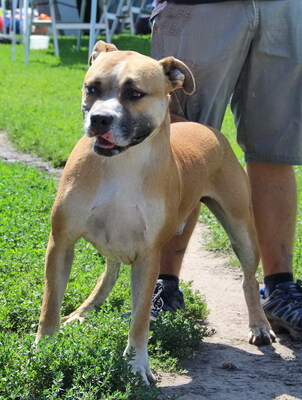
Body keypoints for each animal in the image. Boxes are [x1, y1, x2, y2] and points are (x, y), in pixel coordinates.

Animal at [36, 40, 276, 384]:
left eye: (135, 93)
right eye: (92, 88)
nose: (99, 119)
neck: (122, 163)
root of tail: (207, 129)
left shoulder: (148, 256)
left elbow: (139, 320)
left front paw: (137, 365)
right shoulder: (61, 241)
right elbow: (51, 302)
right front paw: (44, 348)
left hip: (241, 229)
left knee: (248, 278)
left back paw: (259, 324)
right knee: (108, 275)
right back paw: (82, 313)